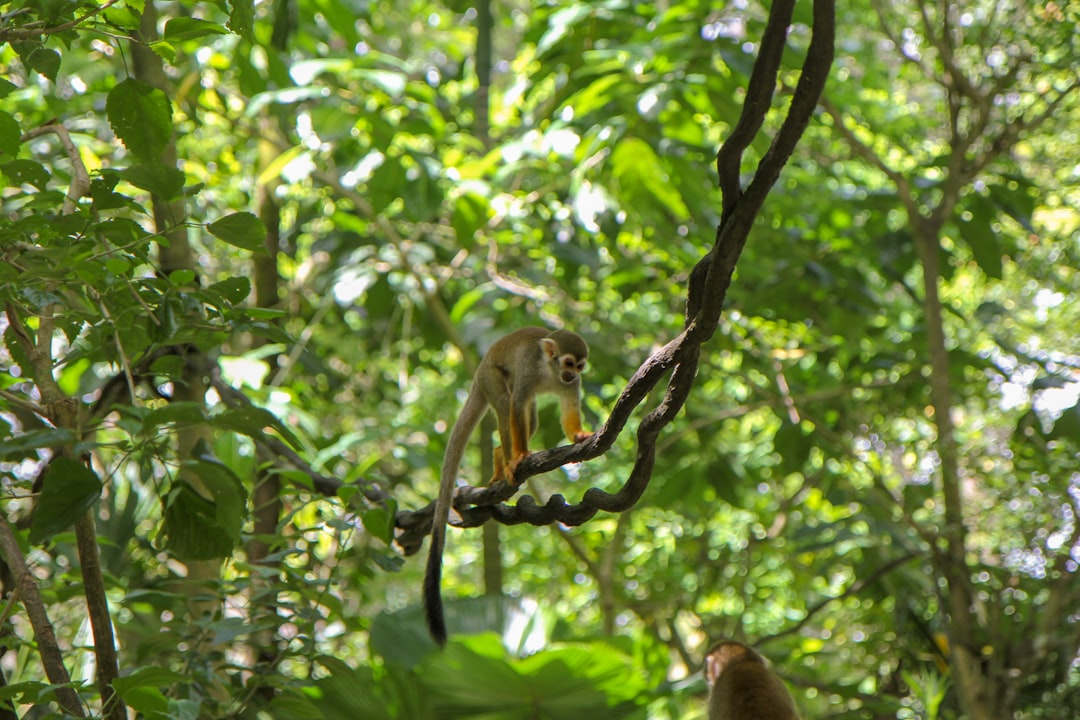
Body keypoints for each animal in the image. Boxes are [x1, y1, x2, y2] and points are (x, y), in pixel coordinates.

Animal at [423, 327, 593, 646]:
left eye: (579, 366)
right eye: (567, 362)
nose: (571, 375)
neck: (550, 372)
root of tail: (479, 369)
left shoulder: (571, 387)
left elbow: (568, 408)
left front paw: (578, 435)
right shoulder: (528, 369)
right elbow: (515, 406)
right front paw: (521, 455)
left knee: (532, 416)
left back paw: (501, 454)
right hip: (490, 376)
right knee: (506, 403)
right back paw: (509, 460)